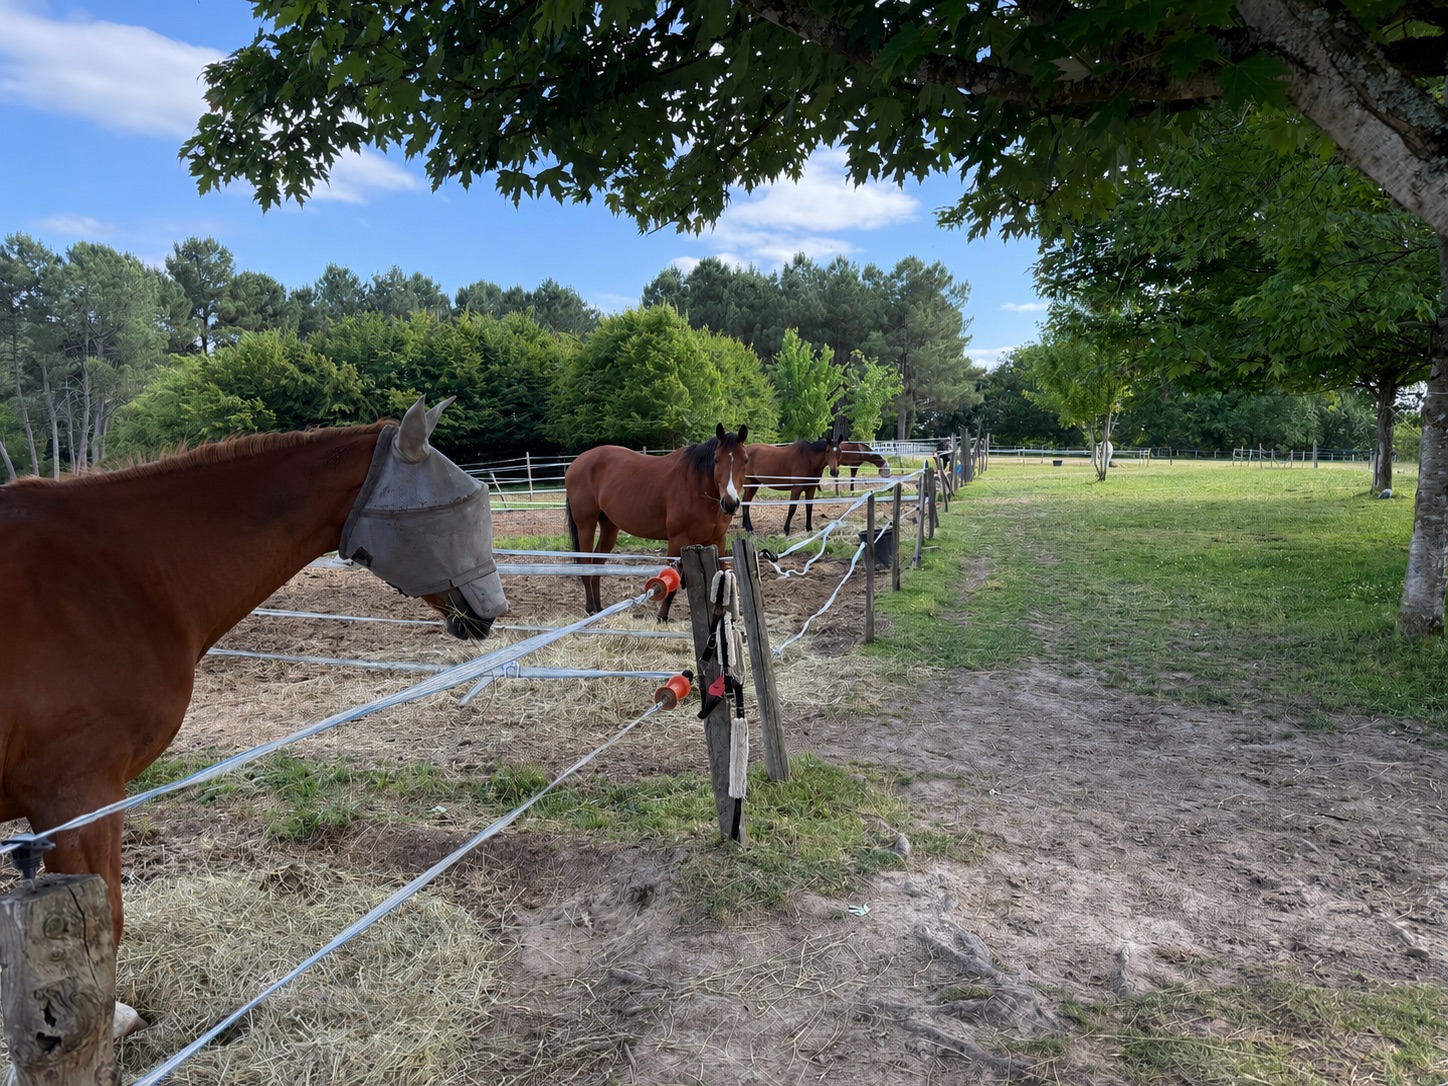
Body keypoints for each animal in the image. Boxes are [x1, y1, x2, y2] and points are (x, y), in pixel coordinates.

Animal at [564, 423, 749, 620]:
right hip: (586, 525)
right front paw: (662, 617)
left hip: (609, 527)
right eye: (716, 460)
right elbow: (672, 584)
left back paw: (599, 609)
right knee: (585, 565)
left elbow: (719, 579)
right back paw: (591, 609)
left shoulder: (717, 541)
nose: (730, 503)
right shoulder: (678, 541)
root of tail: (576, 463)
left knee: (597, 564)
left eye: (745, 460)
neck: (697, 486)